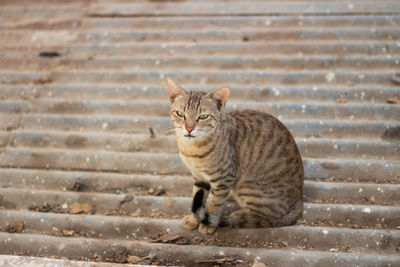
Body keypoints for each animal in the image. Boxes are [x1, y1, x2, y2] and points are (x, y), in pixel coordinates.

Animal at [165, 77, 304, 234]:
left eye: (203, 116)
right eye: (180, 114)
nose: (189, 129)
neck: (192, 150)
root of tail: (299, 198)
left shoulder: (224, 177)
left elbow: (214, 204)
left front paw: (208, 223)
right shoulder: (199, 176)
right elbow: (198, 197)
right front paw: (194, 219)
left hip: (248, 188)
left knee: (268, 215)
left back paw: (238, 215)